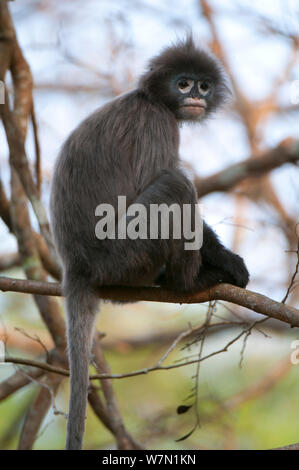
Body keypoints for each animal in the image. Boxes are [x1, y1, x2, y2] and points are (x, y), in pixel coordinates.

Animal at [49, 36, 251, 448]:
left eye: (203, 85)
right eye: (183, 84)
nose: (196, 96)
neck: (149, 98)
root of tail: (75, 267)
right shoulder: (156, 123)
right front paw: (227, 262)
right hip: (123, 256)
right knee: (176, 185)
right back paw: (189, 282)